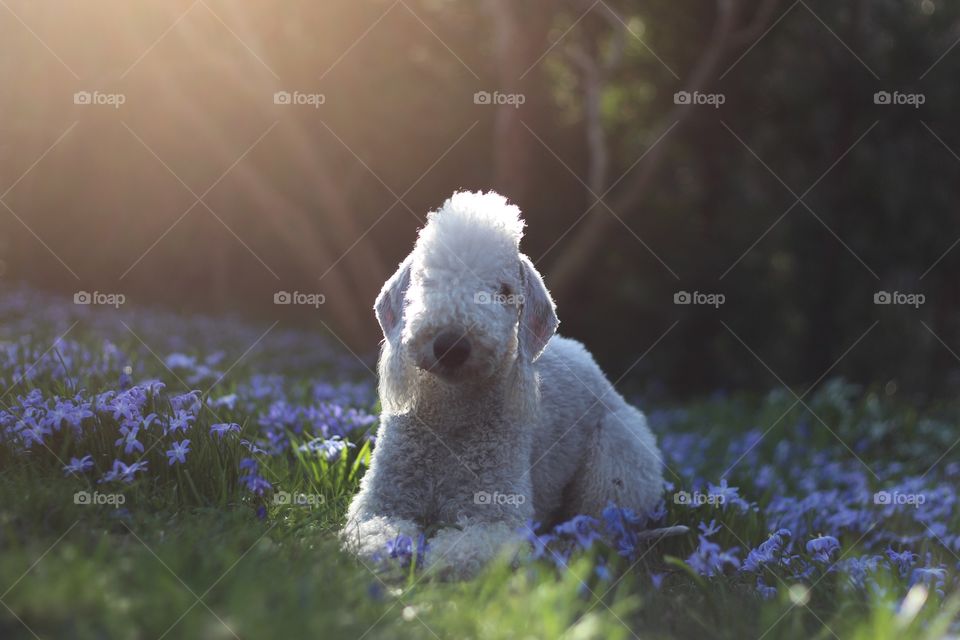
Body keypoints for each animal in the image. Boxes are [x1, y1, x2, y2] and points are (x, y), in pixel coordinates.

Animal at [344, 191, 668, 580]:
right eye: (428, 281)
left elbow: (465, 551)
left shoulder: (500, 516)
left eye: (504, 291)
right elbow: (373, 535)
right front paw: (395, 554)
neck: (452, 415)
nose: (451, 345)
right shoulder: (379, 501)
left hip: (617, 453)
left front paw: (434, 563)